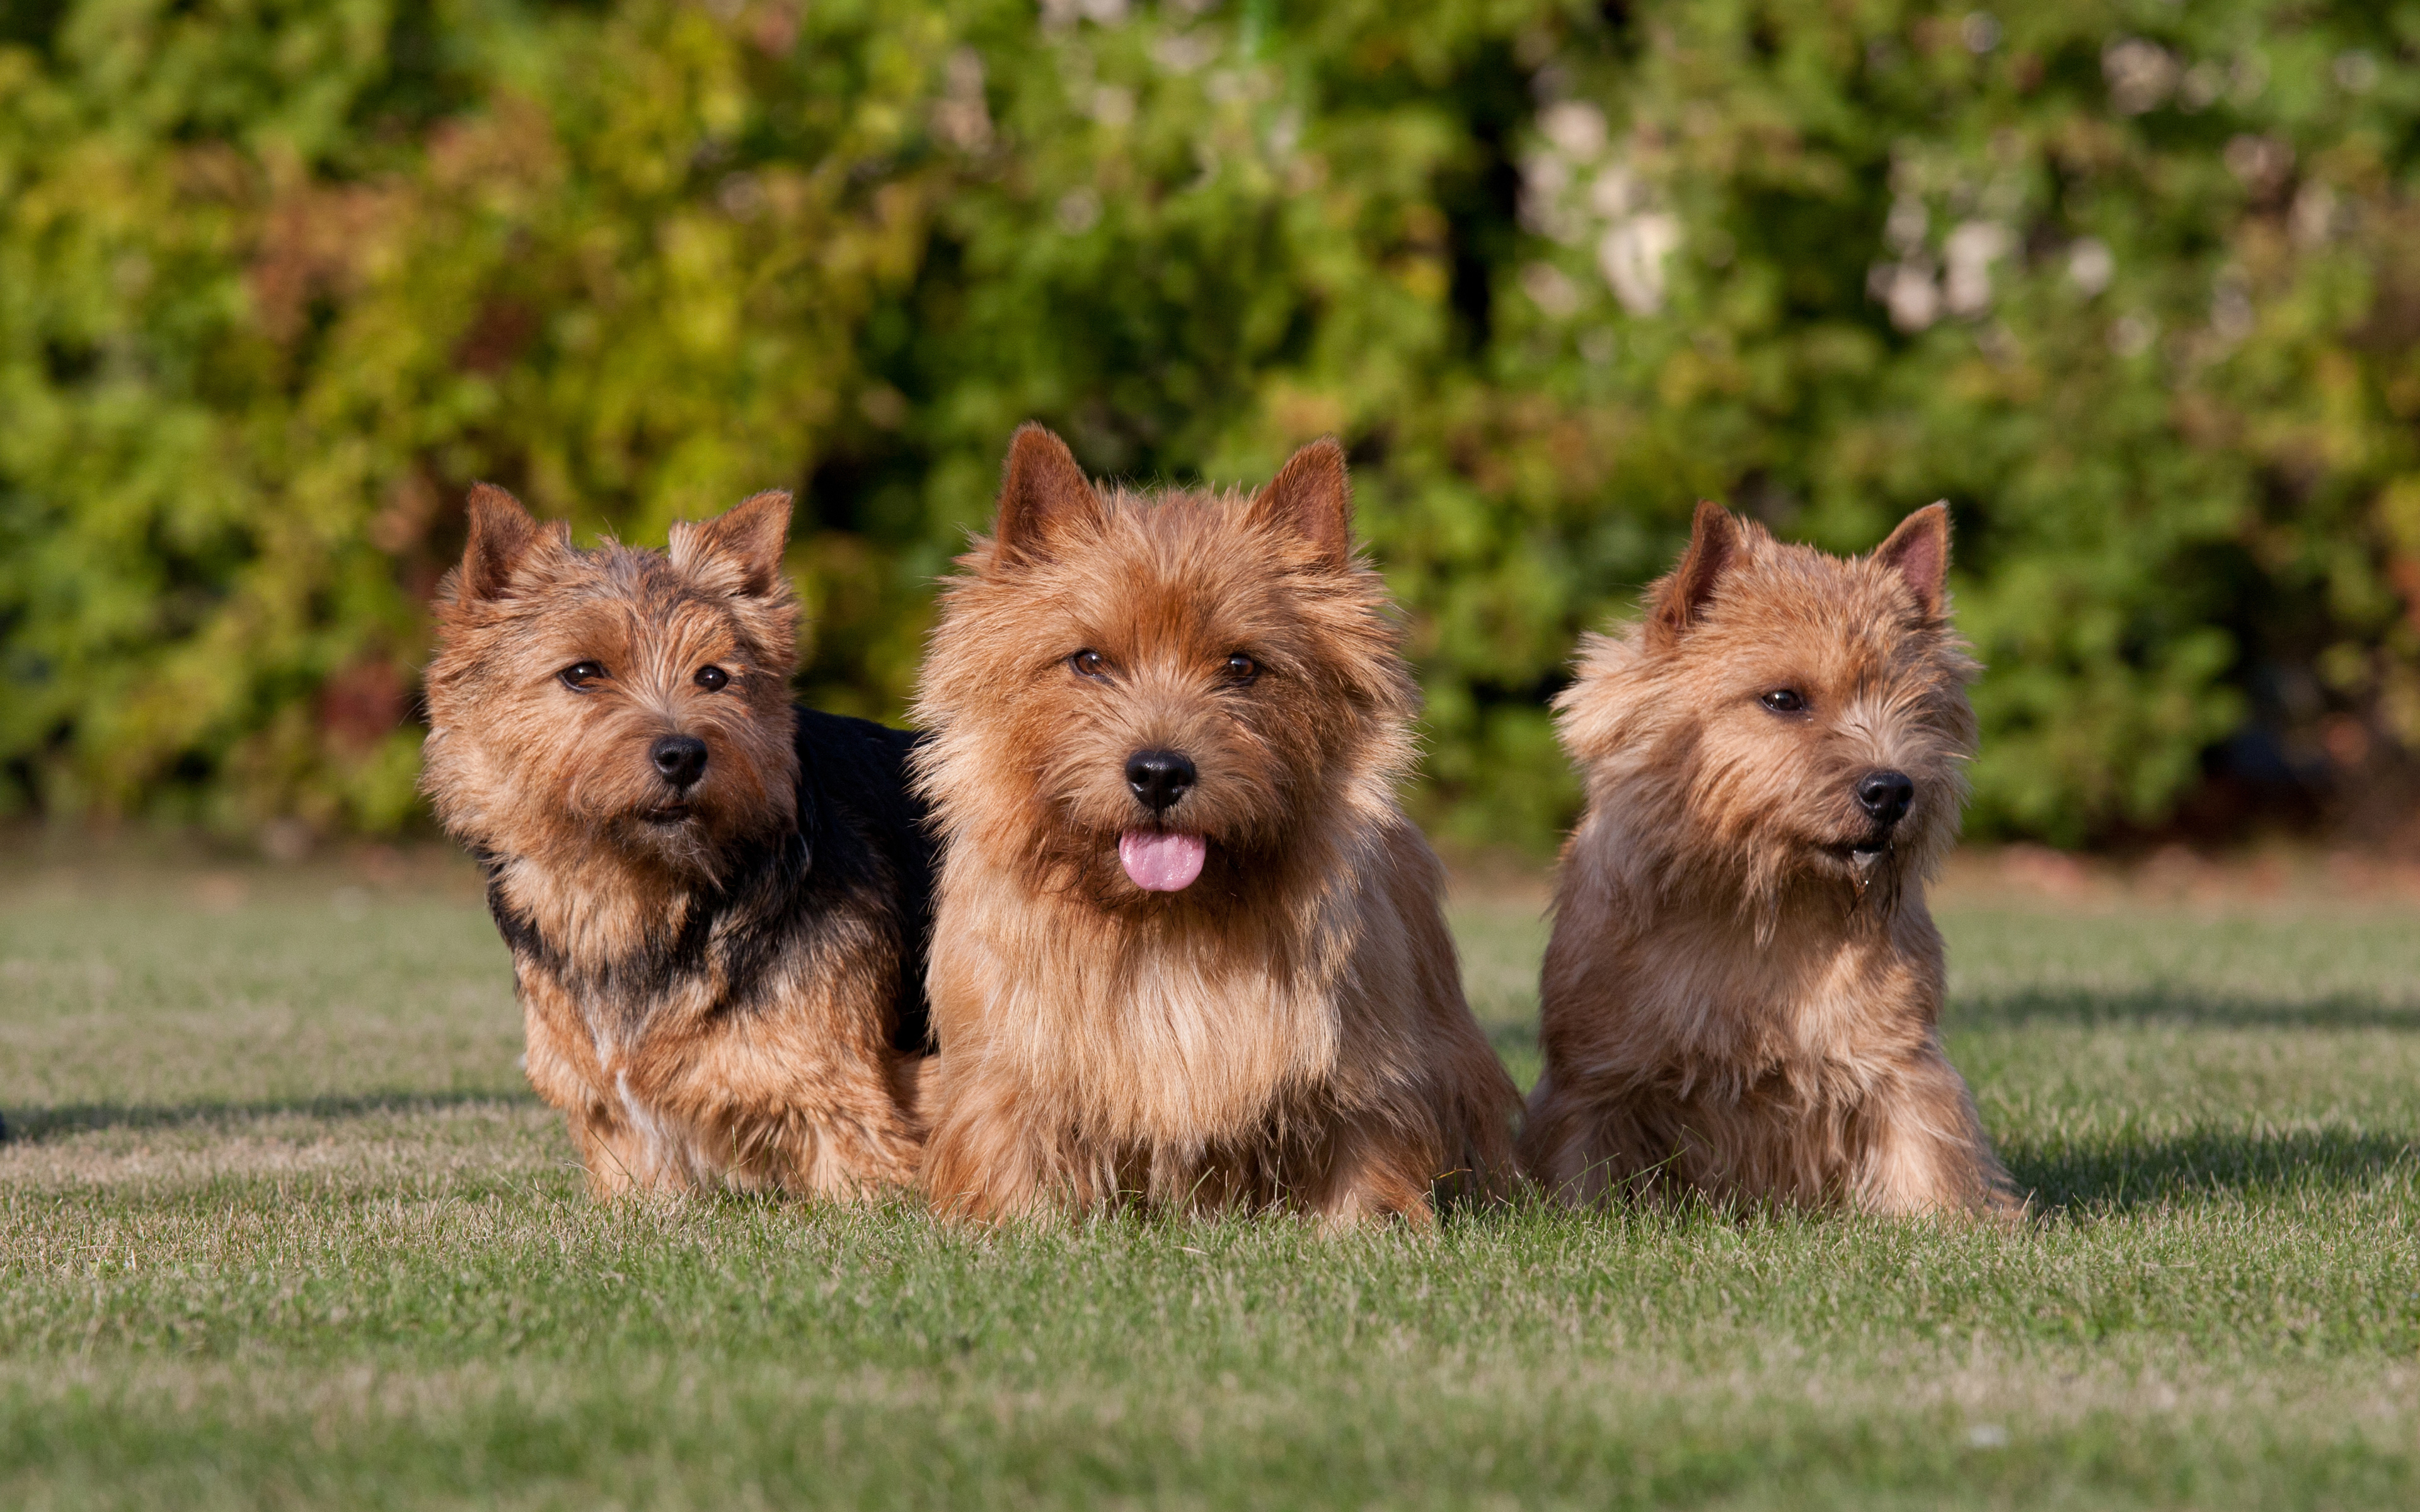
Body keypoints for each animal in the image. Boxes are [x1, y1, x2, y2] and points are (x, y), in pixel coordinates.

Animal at [909, 425, 1510, 1228]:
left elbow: (1366, 1164)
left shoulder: (1371, 1077)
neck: (1165, 923)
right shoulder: (1000, 1074)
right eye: (1089, 660)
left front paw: (1355, 1234)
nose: (1160, 773)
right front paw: (1021, 1225)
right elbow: (1011, 1158)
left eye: (1242, 666)